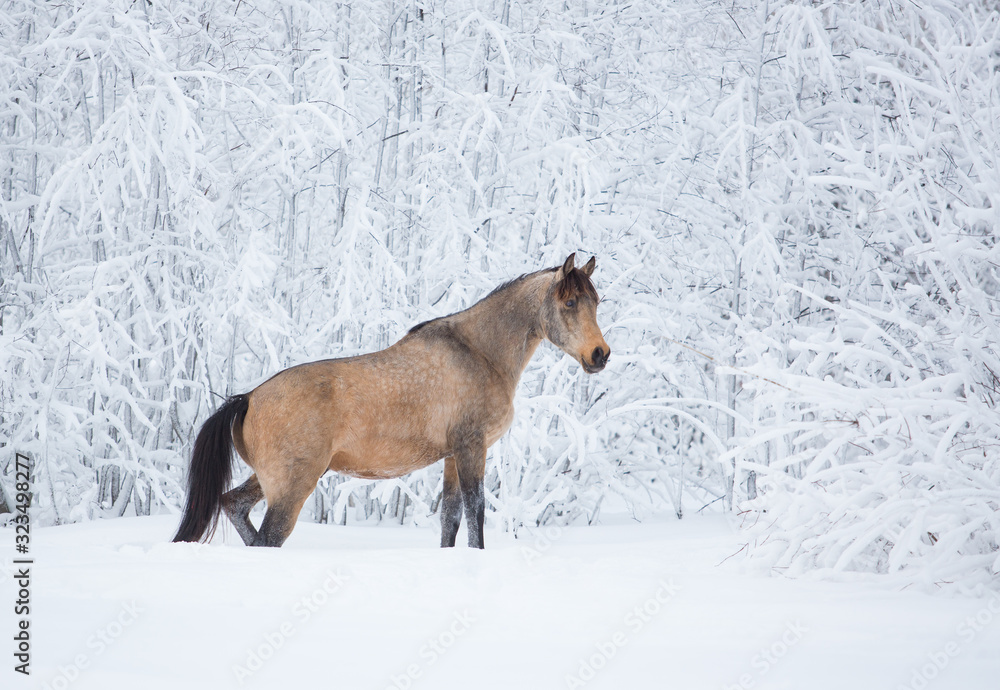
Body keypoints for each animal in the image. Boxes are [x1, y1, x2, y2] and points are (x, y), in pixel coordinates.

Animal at [172, 253, 608, 548]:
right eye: (569, 303)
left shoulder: (452, 455)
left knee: (233, 506)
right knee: (268, 536)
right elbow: (476, 512)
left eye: (597, 302)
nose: (599, 355)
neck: (478, 352)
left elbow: (450, 517)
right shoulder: (472, 447)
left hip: (268, 481)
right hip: (291, 487)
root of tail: (247, 399)